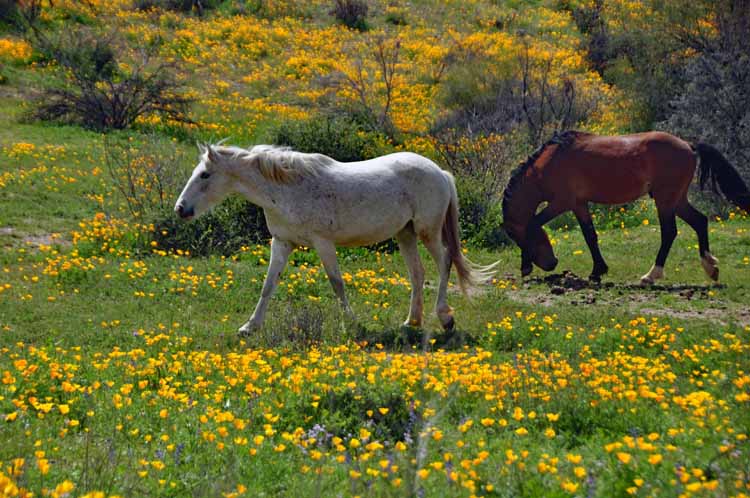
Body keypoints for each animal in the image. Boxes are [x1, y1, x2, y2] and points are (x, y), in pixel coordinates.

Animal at [173, 146, 496, 336]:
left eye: (205, 175)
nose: (180, 209)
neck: (287, 188)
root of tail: (439, 172)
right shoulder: (282, 242)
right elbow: (268, 285)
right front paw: (250, 327)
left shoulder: (323, 243)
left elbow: (336, 283)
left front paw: (351, 323)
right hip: (405, 234)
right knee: (418, 273)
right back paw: (411, 322)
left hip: (428, 231)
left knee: (445, 262)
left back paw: (445, 319)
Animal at [506, 130, 750, 282]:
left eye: (517, 238)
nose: (551, 263)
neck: (550, 162)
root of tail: (688, 145)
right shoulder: (578, 204)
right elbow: (590, 236)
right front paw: (597, 271)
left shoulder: (561, 203)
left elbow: (533, 223)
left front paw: (525, 267)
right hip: (677, 200)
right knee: (700, 221)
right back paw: (711, 268)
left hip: (665, 200)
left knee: (669, 232)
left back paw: (651, 276)